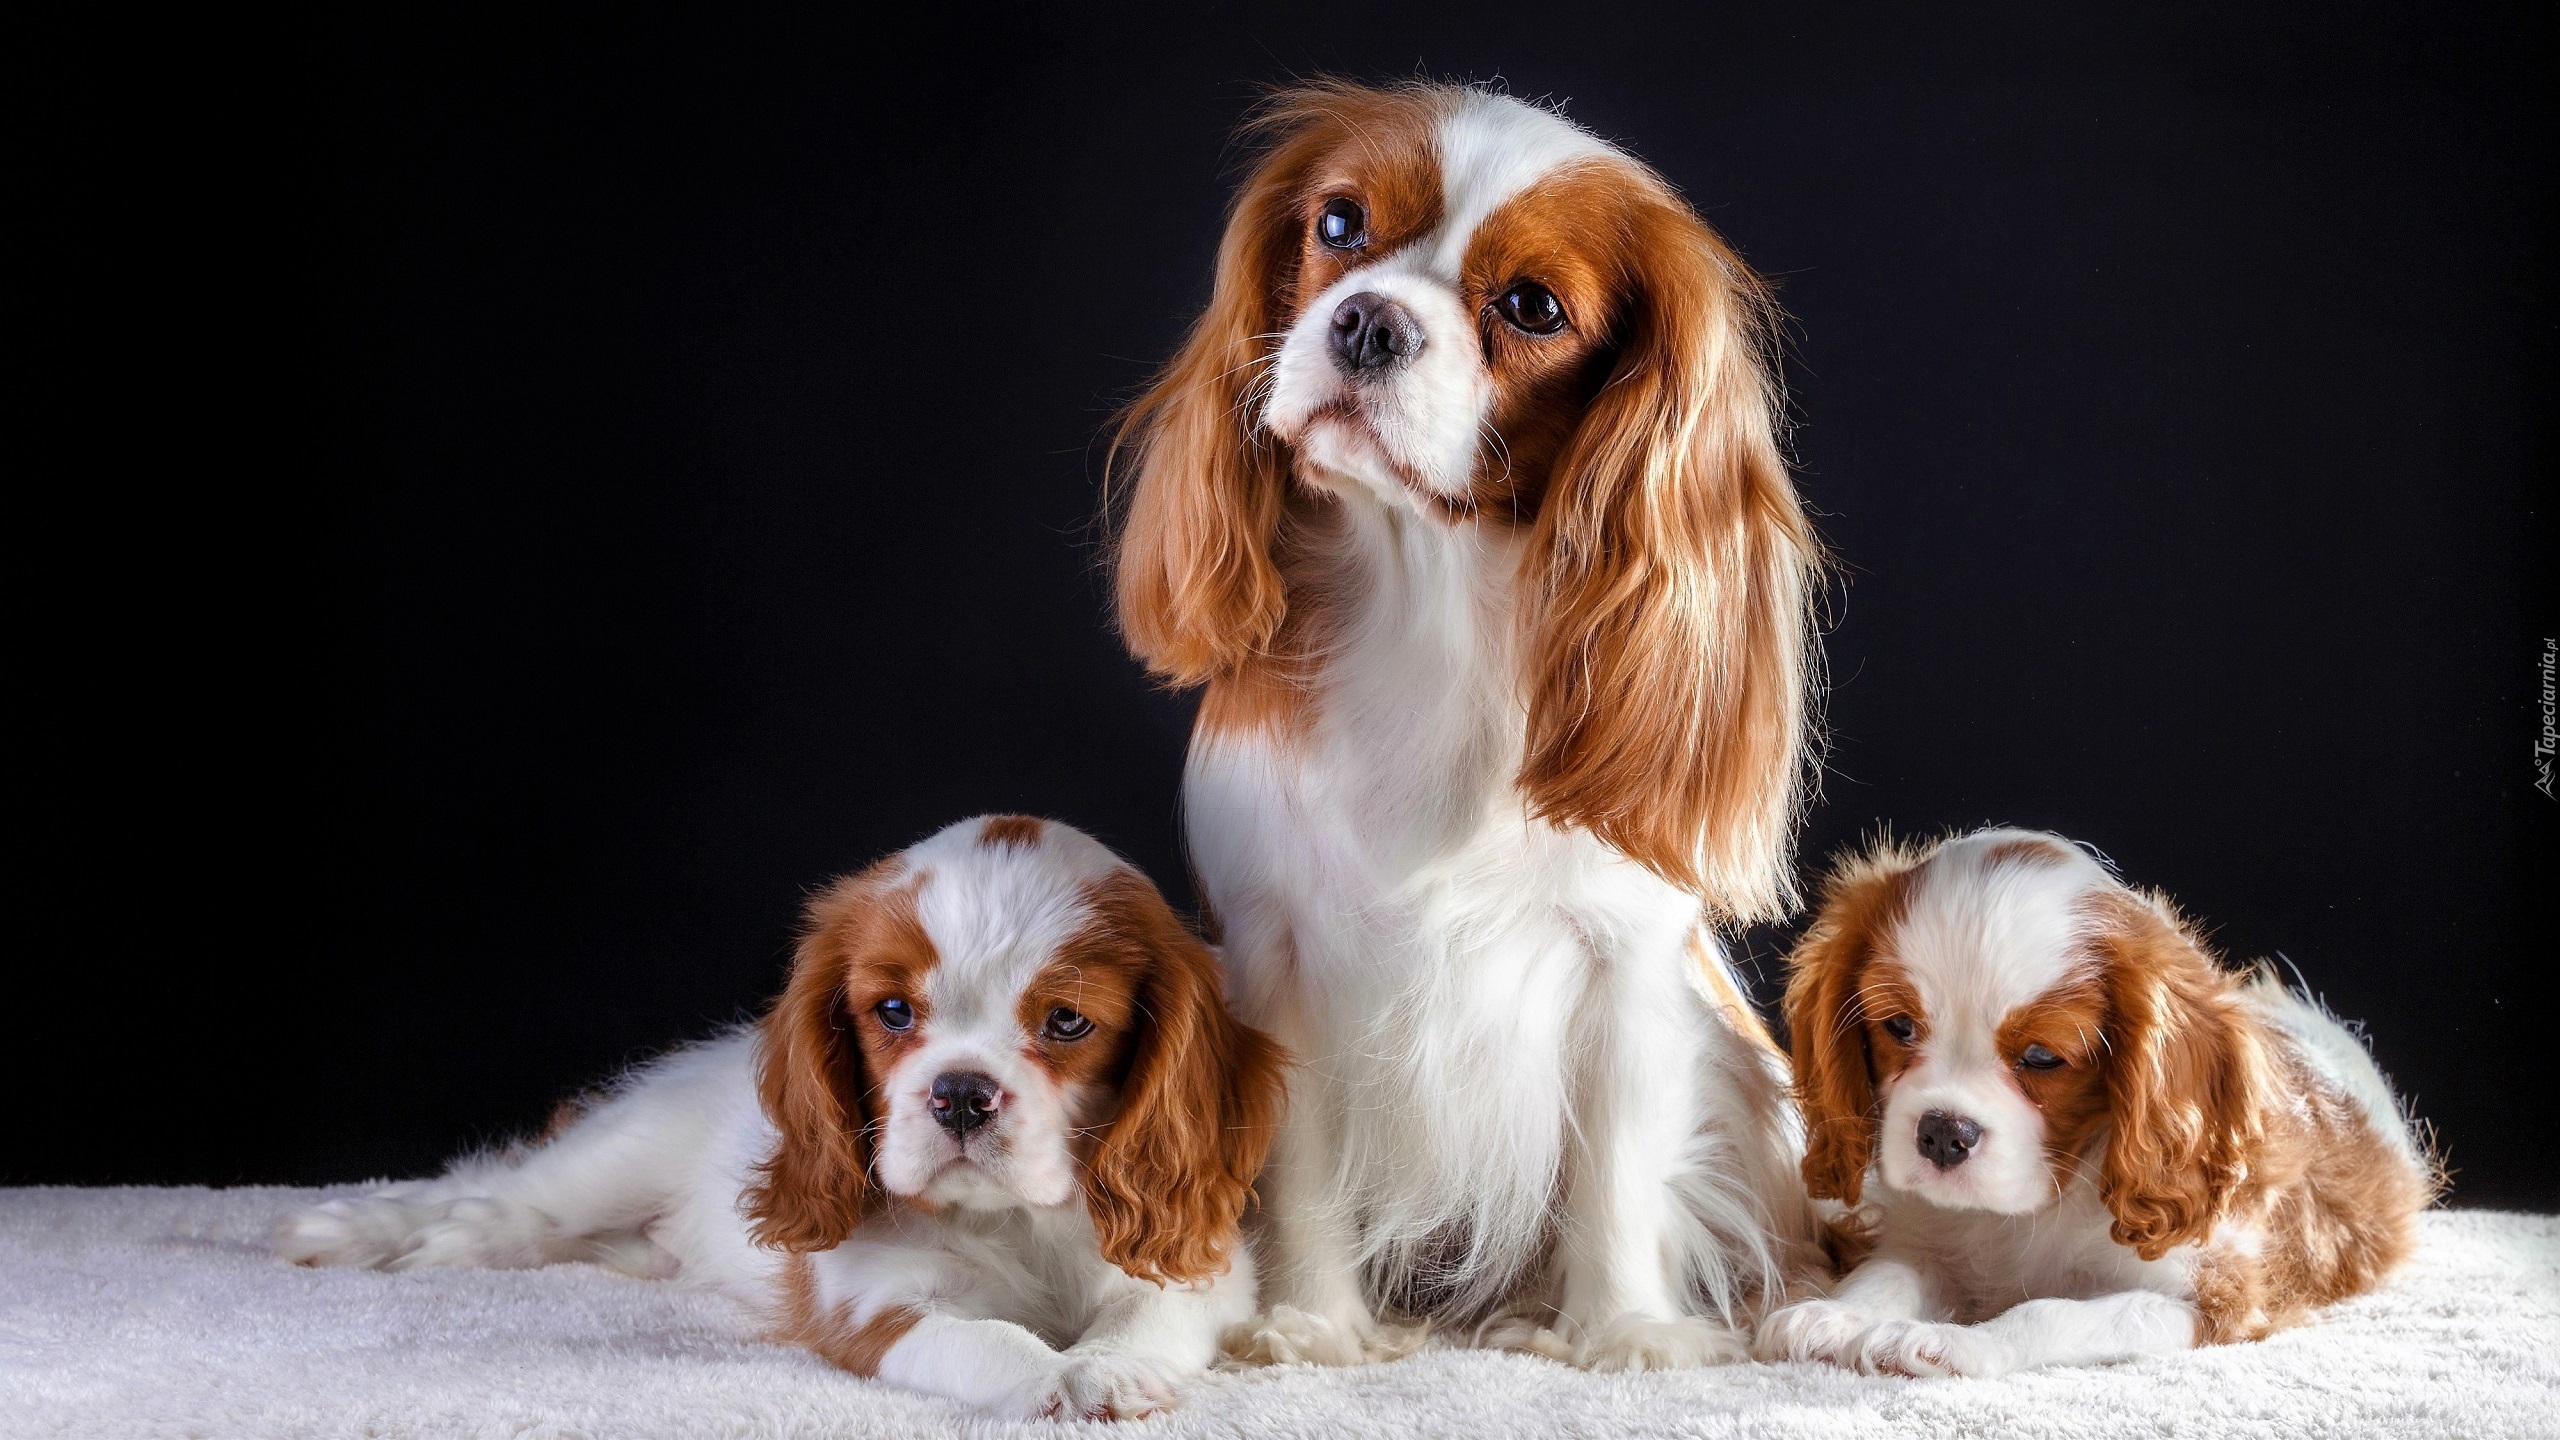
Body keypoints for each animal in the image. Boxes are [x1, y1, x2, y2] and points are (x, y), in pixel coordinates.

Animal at [277, 814, 1280, 1414]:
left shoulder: (1199, 1267)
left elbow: (1149, 1314)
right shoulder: (871, 1303)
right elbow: (981, 1340)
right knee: (500, 1201)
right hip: (618, 1155)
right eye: (892, 1012)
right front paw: (1056, 1376)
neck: (1014, 1222)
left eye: (1067, 1021)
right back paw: (375, 1231)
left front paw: (1106, 1366)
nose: (959, 1092)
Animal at [1116, 81, 1822, 1363]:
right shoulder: (1277, 948)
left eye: (1532, 306)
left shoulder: (1627, 966)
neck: (1428, 596)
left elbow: (1615, 1173)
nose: (1369, 323)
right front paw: (1313, 1324)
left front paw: (1620, 1331)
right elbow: (1300, 1165)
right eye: (1338, 225)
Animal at [1751, 825, 2426, 1373]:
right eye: (1898, 1027)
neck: (2039, 1204)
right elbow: (1888, 1272)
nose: (1943, 1133)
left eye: (2042, 1057)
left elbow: (2053, 1313)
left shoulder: (2215, 1298)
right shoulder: (1932, 1239)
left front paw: (1959, 1343)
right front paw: (1833, 1315)